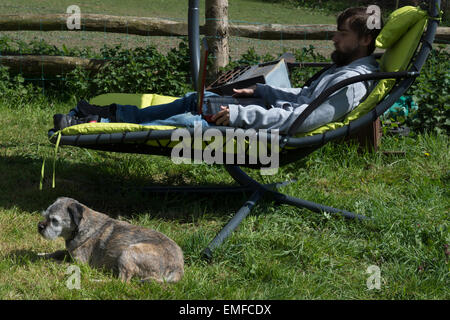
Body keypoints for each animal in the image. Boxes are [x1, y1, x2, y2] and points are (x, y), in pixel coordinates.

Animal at [37, 198, 184, 282]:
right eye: (45, 215)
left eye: (54, 221)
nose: (40, 226)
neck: (80, 227)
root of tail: (178, 268)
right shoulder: (70, 252)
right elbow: (57, 252)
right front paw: (41, 255)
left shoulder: (80, 263)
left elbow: (61, 262)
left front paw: (48, 262)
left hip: (129, 252)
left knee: (121, 282)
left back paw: (97, 280)